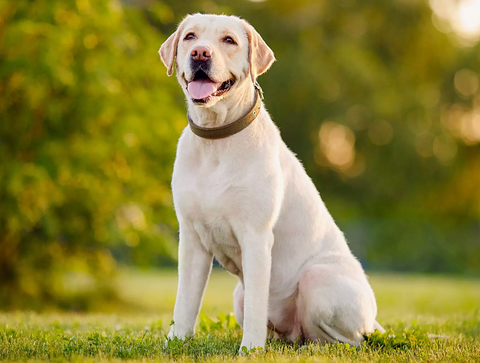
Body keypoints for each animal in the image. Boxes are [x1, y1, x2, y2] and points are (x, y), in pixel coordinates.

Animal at [159, 13, 384, 352]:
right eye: (190, 37)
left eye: (228, 40)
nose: (200, 53)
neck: (216, 140)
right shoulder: (192, 239)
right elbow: (185, 300)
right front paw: (176, 341)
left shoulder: (255, 236)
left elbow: (257, 301)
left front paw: (250, 349)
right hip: (238, 296)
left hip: (317, 280)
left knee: (346, 339)